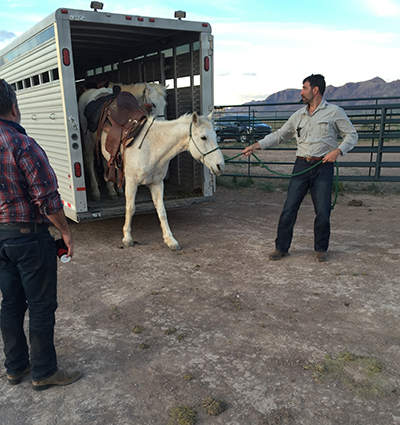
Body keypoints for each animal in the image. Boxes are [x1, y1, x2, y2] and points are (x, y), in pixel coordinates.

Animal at [100, 111, 225, 250]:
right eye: (203, 137)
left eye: (215, 135)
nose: (220, 166)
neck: (151, 148)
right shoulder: (132, 183)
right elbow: (130, 208)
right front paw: (127, 238)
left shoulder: (157, 184)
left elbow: (162, 211)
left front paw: (170, 239)